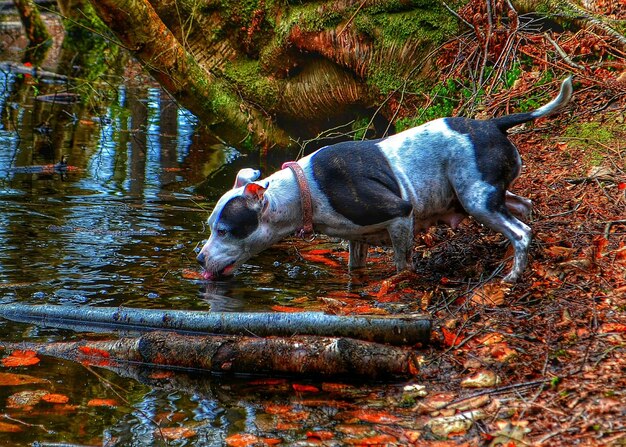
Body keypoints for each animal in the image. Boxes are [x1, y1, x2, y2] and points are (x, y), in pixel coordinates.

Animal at [197, 75, 572, 282]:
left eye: (225, 231)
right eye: (210, 226)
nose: (199, 258)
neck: (303, 190)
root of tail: (493, 123)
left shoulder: (400, 215)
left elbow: (402, 264)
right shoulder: (357, 239)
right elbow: (355, 267)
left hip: (476, 200)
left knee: (520, 232)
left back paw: (513, 275)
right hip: (487, 195)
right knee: (524, 206)